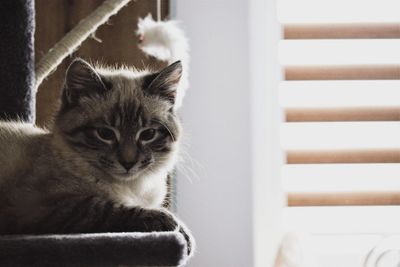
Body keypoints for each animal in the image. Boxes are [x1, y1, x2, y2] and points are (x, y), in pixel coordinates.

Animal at [0, 58, 192, 255]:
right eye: (105, 134)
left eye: (148, 134)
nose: (128, 163)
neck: (133, 187)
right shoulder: (42, 206)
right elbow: (105, 207)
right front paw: (167, 220)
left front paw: (185, 236)